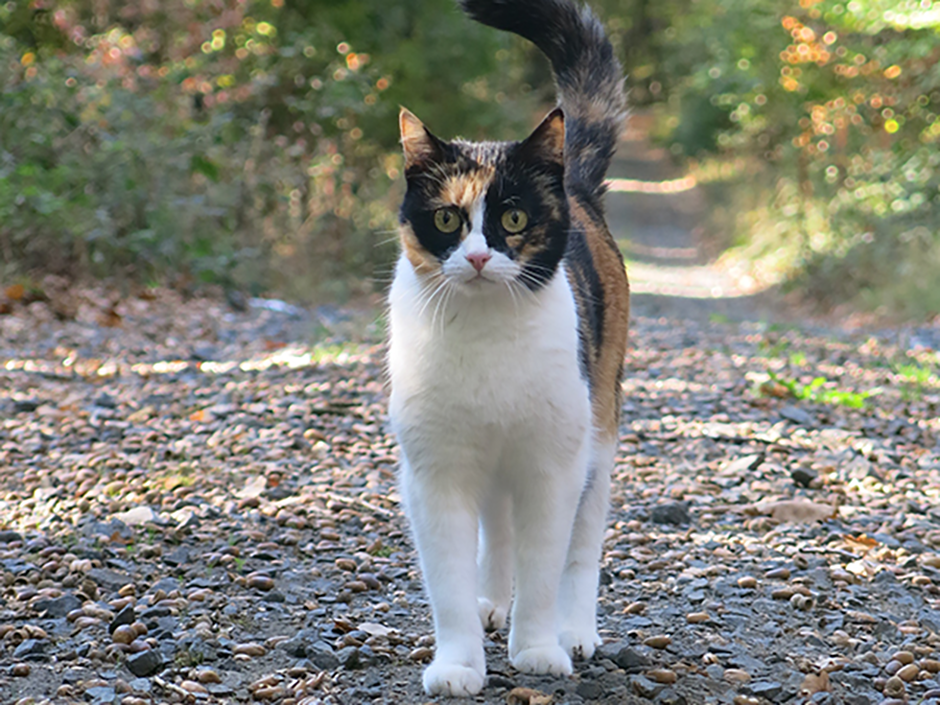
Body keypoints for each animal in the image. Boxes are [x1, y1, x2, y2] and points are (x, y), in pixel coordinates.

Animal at [386, 0, 628, 692]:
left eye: (514, 219)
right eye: (447, 218)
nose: (475, 257)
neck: (486, 335)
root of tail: (575, 182)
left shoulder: (553, 466)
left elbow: (545, 566)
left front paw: (539, 649)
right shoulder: (435, 473)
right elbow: (448, 581)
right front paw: (457, 663)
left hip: (598, 436)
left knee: (581, 547)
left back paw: (576, 632)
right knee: (494, 531)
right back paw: (492, 603)